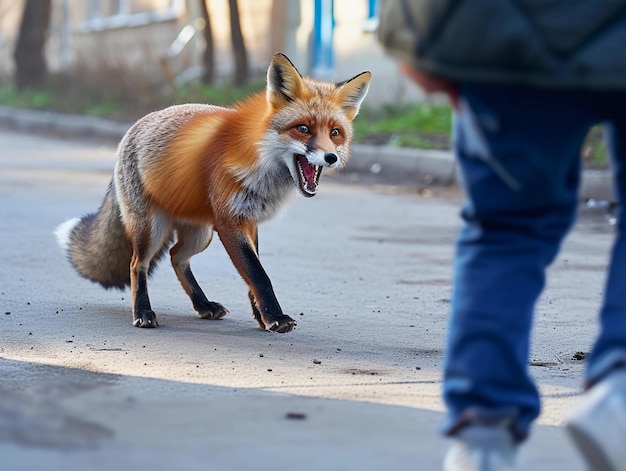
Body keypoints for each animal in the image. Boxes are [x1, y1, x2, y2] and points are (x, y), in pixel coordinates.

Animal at [54, 53, 370, 334]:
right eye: (303, 128)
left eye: (335, 133)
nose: (331, 157)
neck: (262, 165)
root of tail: (134, 127)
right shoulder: (229, 222)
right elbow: (259, 275)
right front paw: (275, 318)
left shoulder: (249, 220)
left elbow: (253, 275)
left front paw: (262, 317)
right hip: (151, 229)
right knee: (137, 264)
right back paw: (143, 312)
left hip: (200, 234)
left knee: (176, 256)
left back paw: (202, 304)